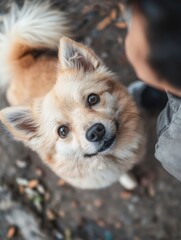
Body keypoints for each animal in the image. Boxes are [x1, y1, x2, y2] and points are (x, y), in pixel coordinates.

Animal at [0, 1, 145, 189]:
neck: (111, 157)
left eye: (93, 99)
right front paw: (128, 180)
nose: (95, 131)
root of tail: (24, 62)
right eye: (62, 131)